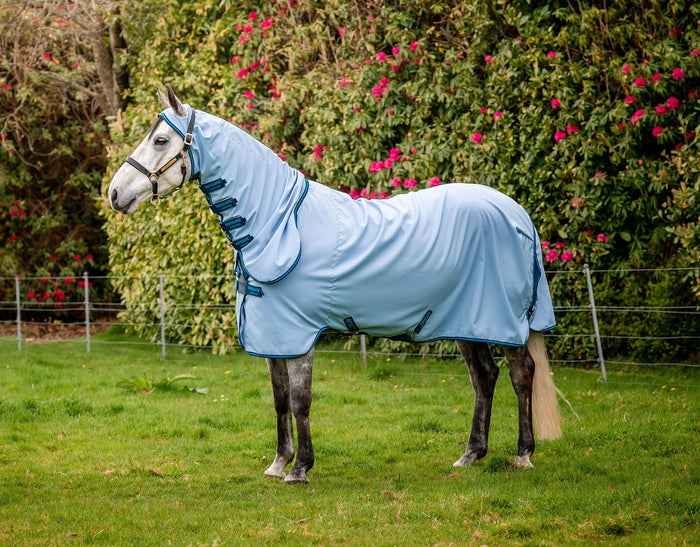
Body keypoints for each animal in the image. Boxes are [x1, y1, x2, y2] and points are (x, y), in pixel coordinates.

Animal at [109, 87, 562, 484]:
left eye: (161, 140)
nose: (114, 194)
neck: (276, 223)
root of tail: (517, 213)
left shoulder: (299, 335)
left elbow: (300, 400)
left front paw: (299, 469)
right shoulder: (274, 337)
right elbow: (279, 400)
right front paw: (278, 464)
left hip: (502, 322)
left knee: (522, 373)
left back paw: (523, 455)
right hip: (467, 322)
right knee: (484, 377)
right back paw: (470, 455)